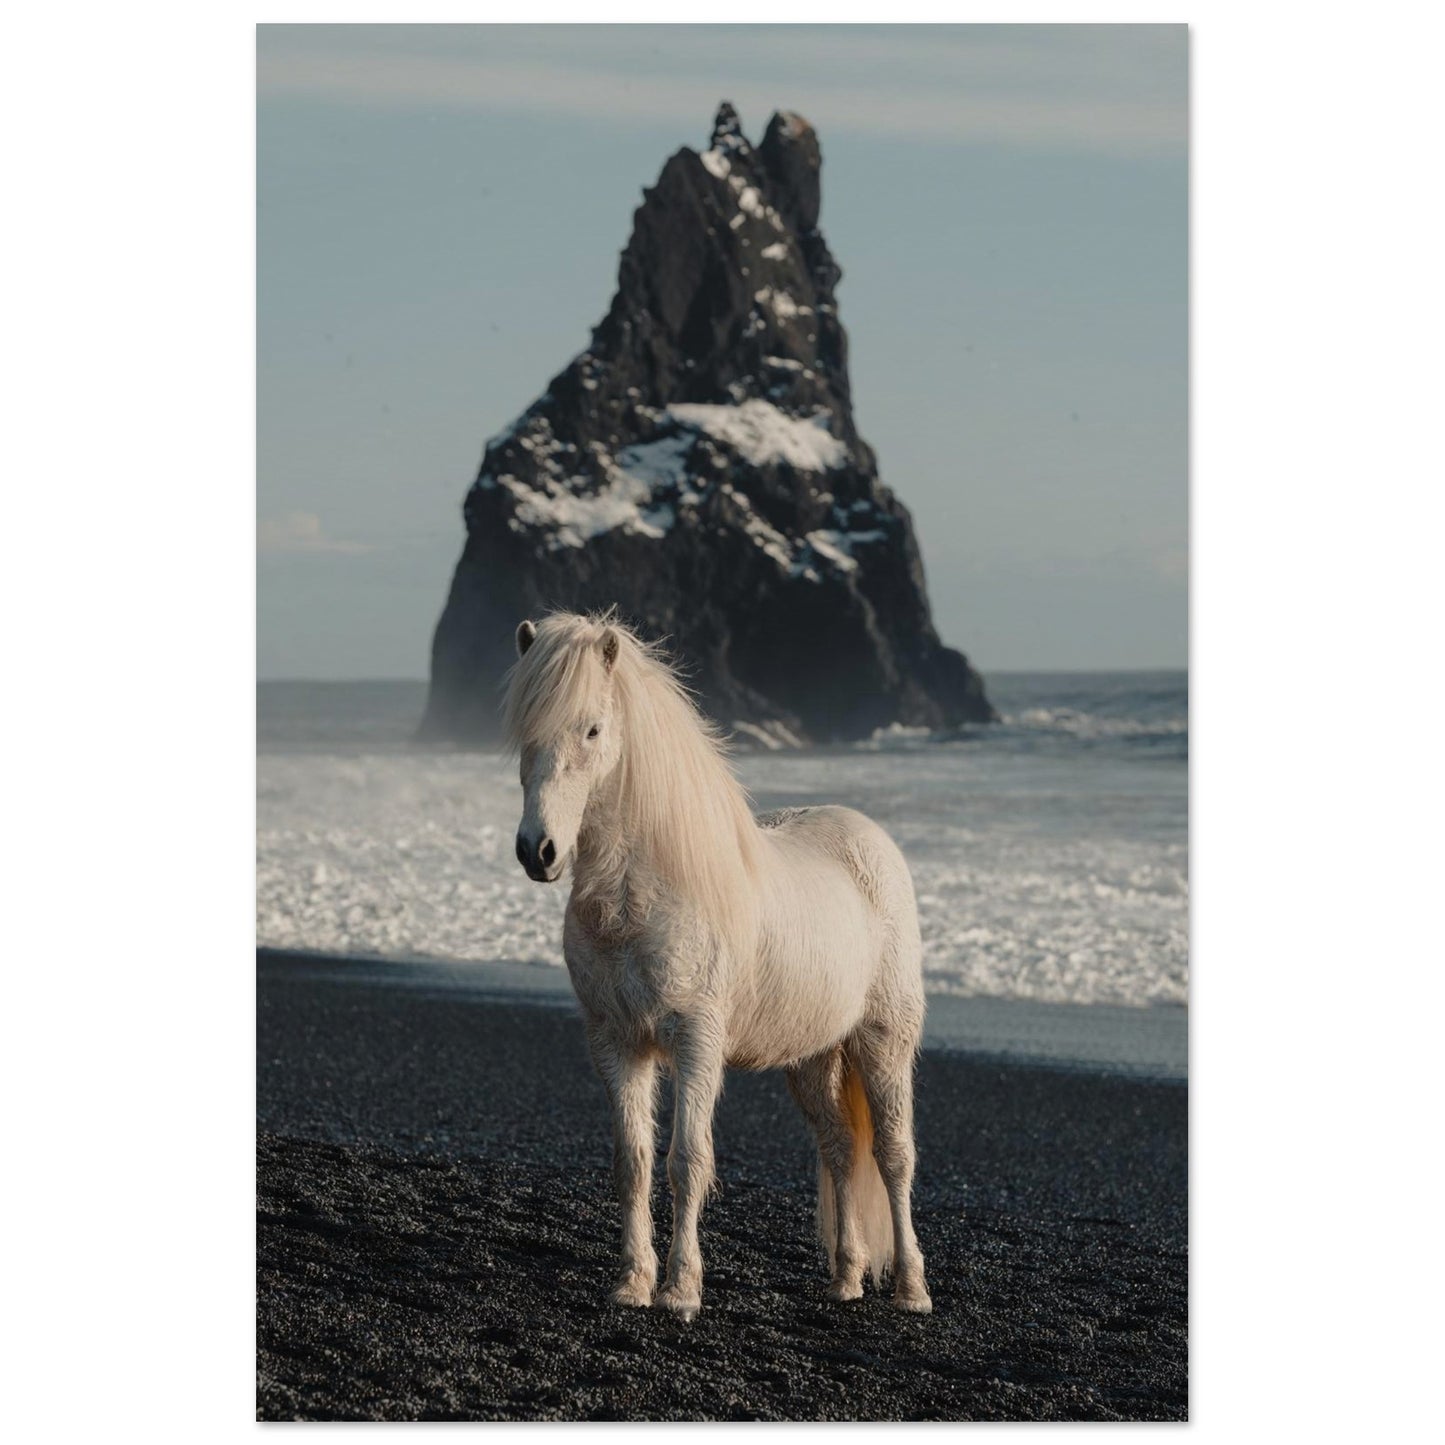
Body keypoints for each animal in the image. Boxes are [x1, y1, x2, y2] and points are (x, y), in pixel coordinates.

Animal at [504, 611, 932, 1320]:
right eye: (522, 732)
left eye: (591, 729)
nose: (538, 851)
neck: (646, 894)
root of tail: (869, 839)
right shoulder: (617, 1043)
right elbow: (634, 1162)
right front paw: (633, 1283)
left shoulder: (696, 1040)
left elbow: (687, 1160)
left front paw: (680, 1291)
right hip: (812, 1058)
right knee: (841, 1148)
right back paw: (844, 1279)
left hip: (882, 1041)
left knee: (894, 1157)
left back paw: (911, 1290)